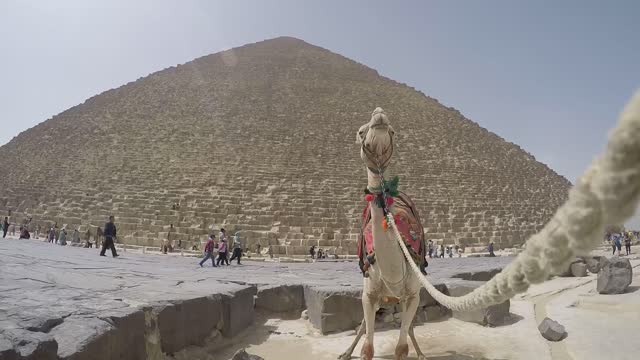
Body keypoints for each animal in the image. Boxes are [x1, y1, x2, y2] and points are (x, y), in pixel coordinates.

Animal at [340, 90, 640, 360]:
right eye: (360, 131)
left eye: (392, 131)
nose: (379, 115)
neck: (392, 267)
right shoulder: (369, 294)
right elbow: (368, 346)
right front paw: (354, 351)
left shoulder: (412, 294)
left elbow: (401, 346)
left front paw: (412, 351)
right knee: (364, 327)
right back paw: (346, 351)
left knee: (408, 328)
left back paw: (421, 353)